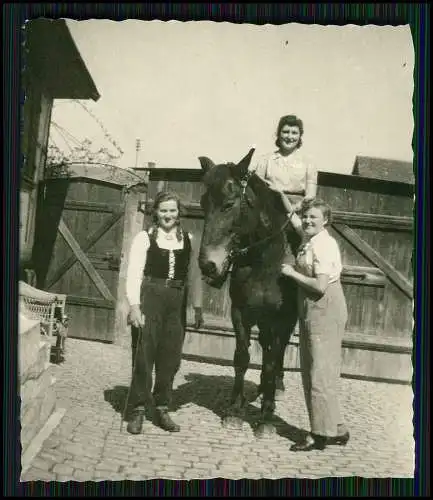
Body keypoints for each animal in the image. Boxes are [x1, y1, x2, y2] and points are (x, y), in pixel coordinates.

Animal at [198, 148, 300, 438]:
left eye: (229, 204)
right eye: (203, 203)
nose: (208, 265)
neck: (265, 262)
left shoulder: (281, 320)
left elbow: (270, 363)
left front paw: (266, 417)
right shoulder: (240, 314)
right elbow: (242, 358)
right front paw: (234, 410)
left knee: (276, 356)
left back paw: (274, 390)